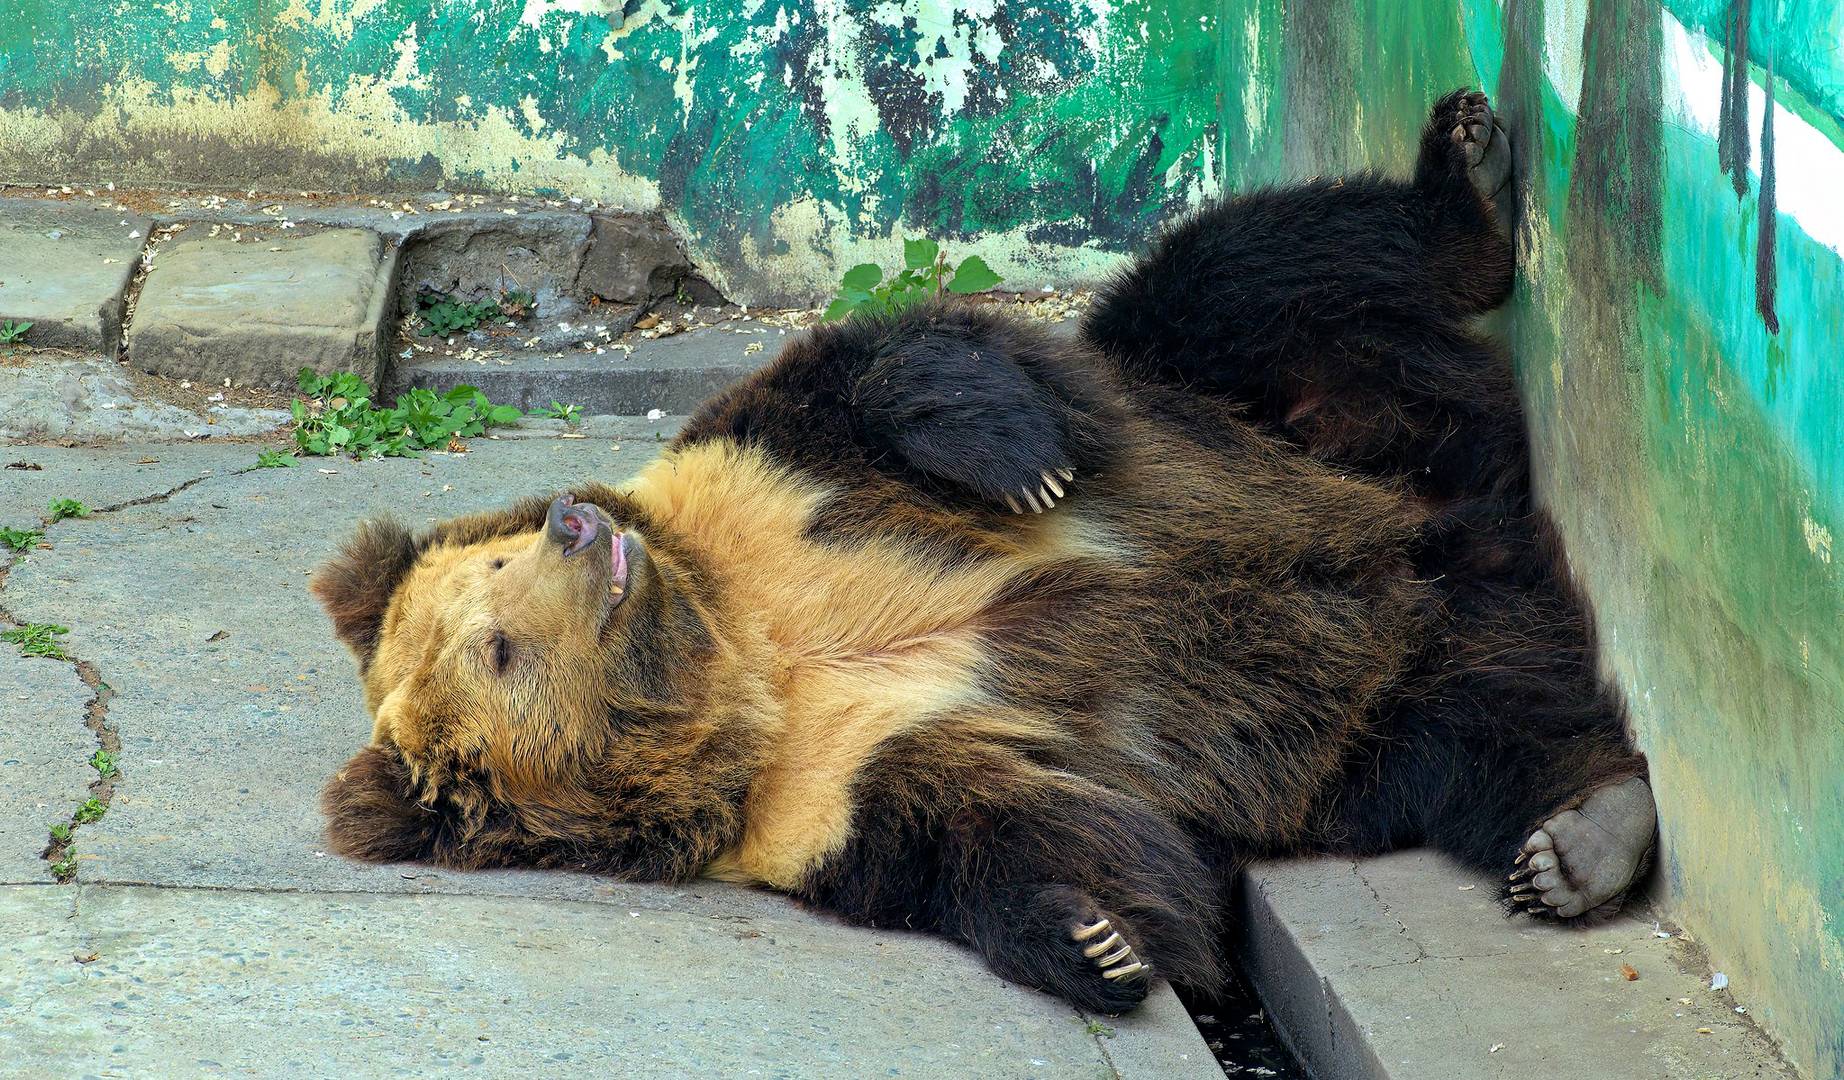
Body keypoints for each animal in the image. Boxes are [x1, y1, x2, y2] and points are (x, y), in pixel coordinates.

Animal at [313, 90, 1659, 1009]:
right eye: (494, 643)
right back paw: (1580, 835)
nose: (575, 527)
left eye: (487, 572)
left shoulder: (772, 486)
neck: (739, 655)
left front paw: (1020, 461)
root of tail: (1459, 526)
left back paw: (1465, 170)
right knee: (1471, 727)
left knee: (1254, 268)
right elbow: (994, 836)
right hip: (1355, 726)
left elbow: (895, 362)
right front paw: (1096, 939)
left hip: (1246, 406)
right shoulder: (826, 789)